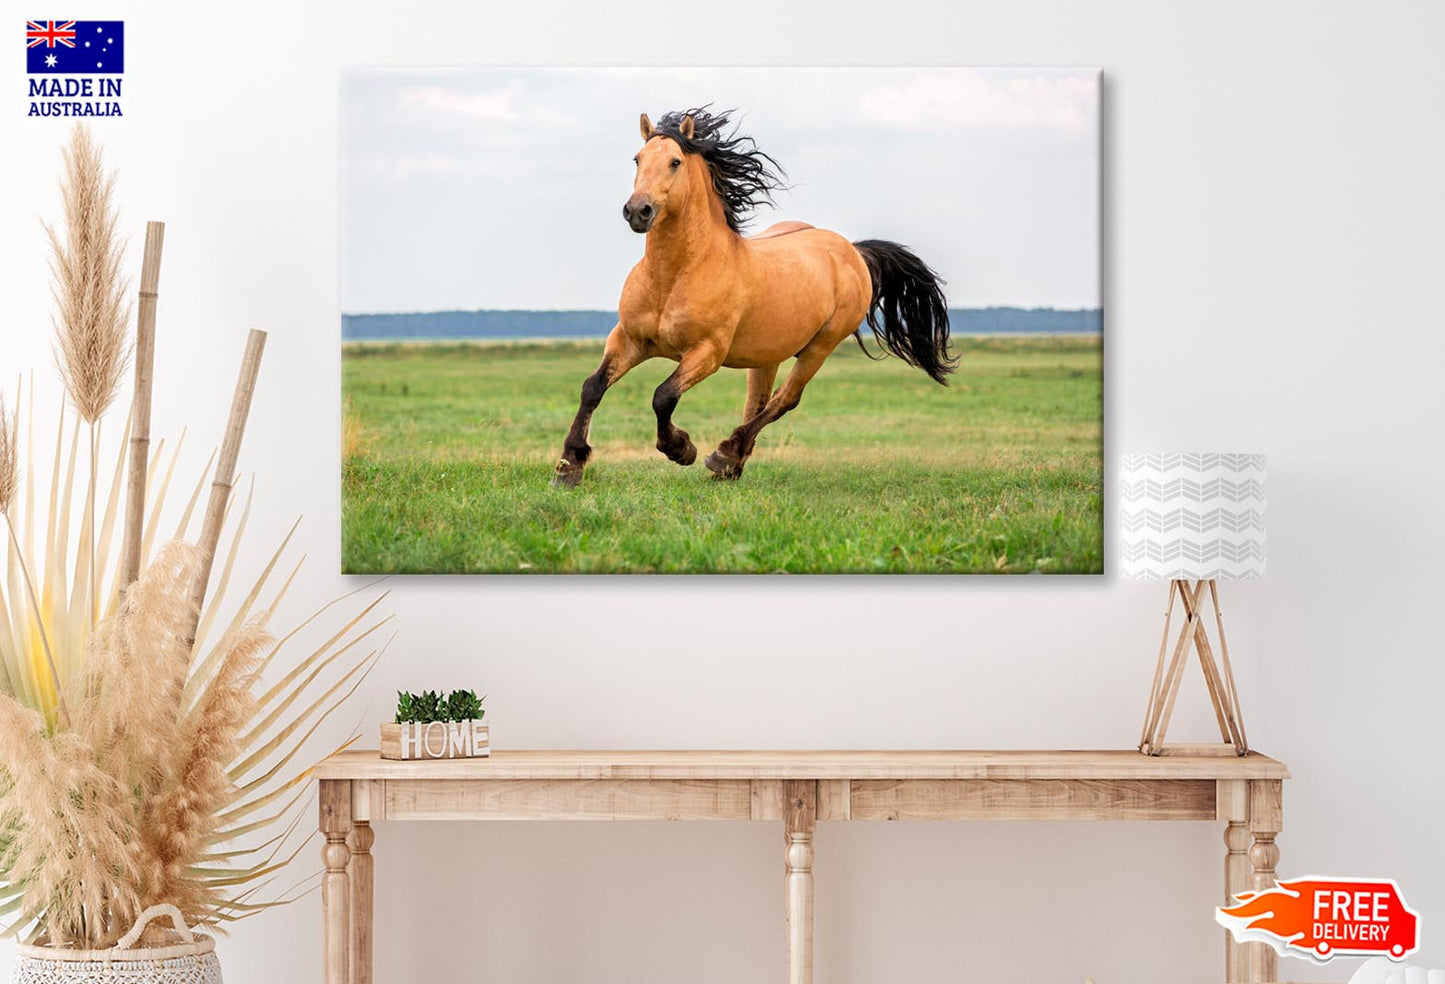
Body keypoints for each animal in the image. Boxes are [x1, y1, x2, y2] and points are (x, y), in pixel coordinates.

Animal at [552, 106, 957, 489]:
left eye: (675, 162)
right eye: (637, 159)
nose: (638, 211)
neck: (674, 276)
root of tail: (852, 251)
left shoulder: (707, 352)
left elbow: (662, 396)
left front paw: (682, 449)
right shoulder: (629, 340)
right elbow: (592, 388)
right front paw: (569, 466)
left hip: (820, 346)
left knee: (784, 400)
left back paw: (723, 455)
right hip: (767, 355)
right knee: (757, 402)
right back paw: (731, 465)